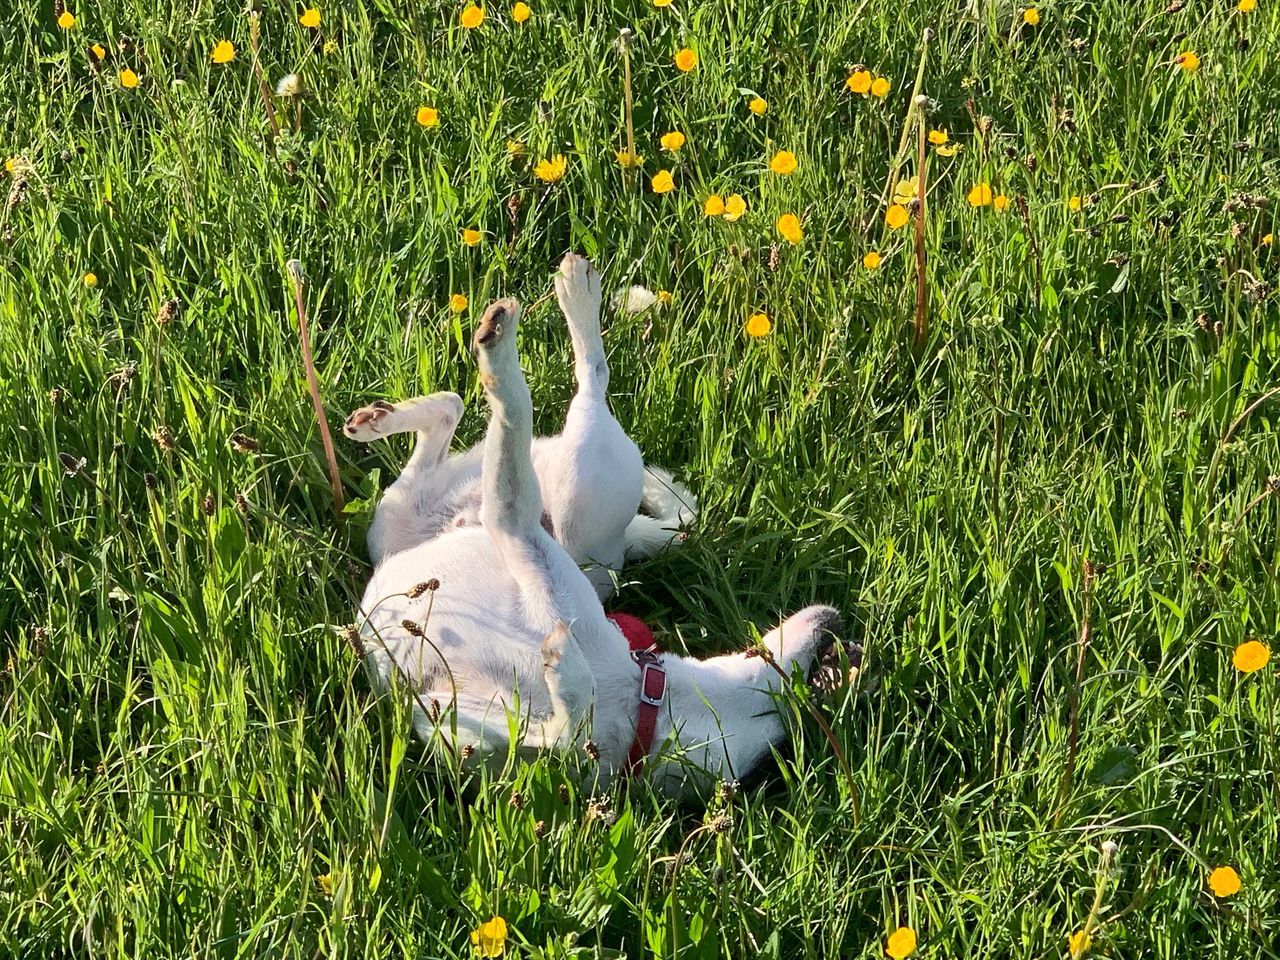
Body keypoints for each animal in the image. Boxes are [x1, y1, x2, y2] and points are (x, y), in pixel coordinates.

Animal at [345, 252, 844, 793]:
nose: (841, 626)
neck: (639, 701)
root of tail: (622, 545)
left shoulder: (473, 737)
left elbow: (564, 727)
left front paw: (565, 675)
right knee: (480, 406)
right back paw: (389, 414)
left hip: (557, 499)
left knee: (573, 390)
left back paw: (544, 315)